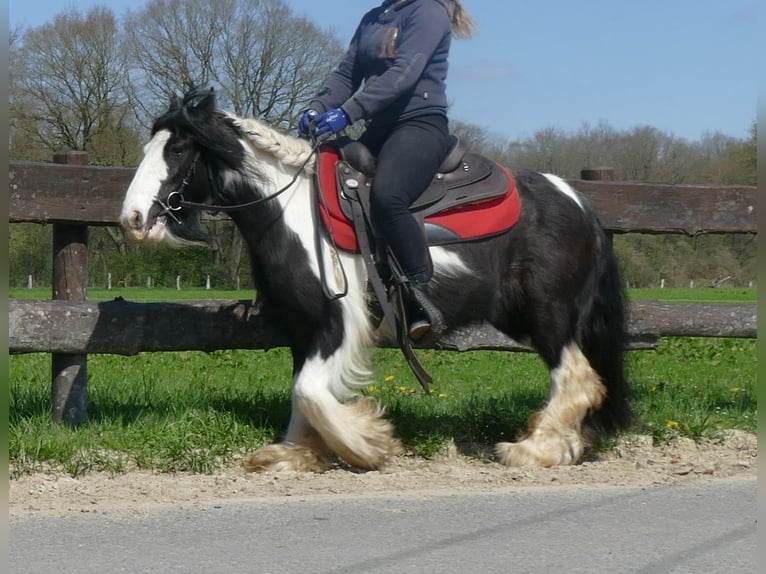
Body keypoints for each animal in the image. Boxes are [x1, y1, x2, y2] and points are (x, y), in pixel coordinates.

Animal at [120, 89, 632, 472]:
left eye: (178, 149)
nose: (133, 218)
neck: (292, 210)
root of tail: (580, 203)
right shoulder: (302, 327)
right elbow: (302, 393)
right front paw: (298, 453)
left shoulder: (338, 324)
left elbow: (310, 391)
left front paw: (369, 443)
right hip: (523, 316)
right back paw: (560, 442)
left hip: (548, 313)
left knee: (576, 376)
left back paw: (533, 449)